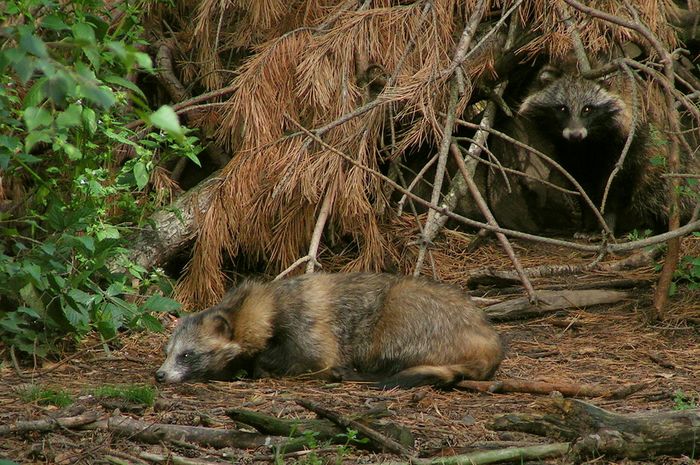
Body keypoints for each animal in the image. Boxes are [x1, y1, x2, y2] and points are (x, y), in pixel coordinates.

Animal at [154, 272, 504, 388]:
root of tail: (488, 339)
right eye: (168, 352)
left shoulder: (307, 325)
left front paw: (261, 365)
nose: (159, 375)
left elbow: (316, 359)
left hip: (409, 314)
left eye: (187, 355)